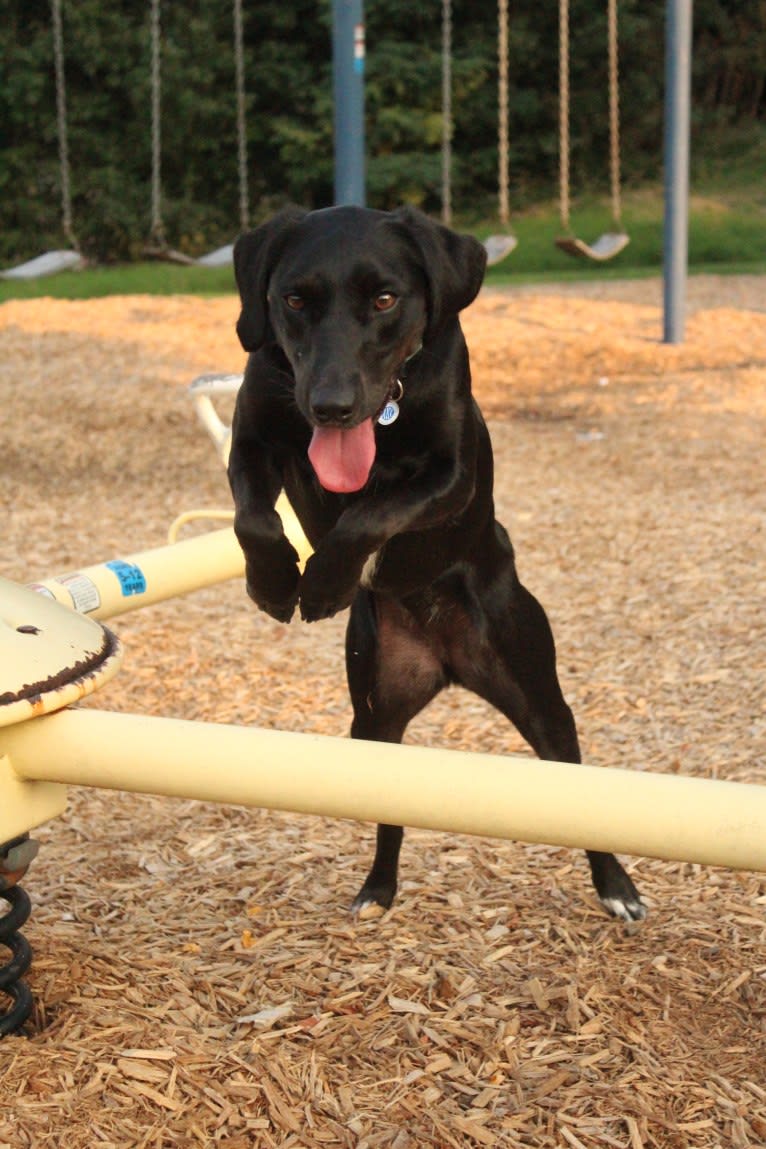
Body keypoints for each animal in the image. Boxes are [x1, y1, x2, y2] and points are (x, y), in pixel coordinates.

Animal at [227, 204, 647, 923]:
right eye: (294, 300)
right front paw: (276, 582)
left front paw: (326, 583)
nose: (331, 406)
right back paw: (377, 889)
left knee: (575, 789)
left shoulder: (451, 475)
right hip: (374, 715)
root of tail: (449, 662)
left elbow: (370, 515)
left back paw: (616, 888)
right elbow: (253, 518)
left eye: (385, 299)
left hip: (539, 696)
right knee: (391, 806)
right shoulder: (252, 433)